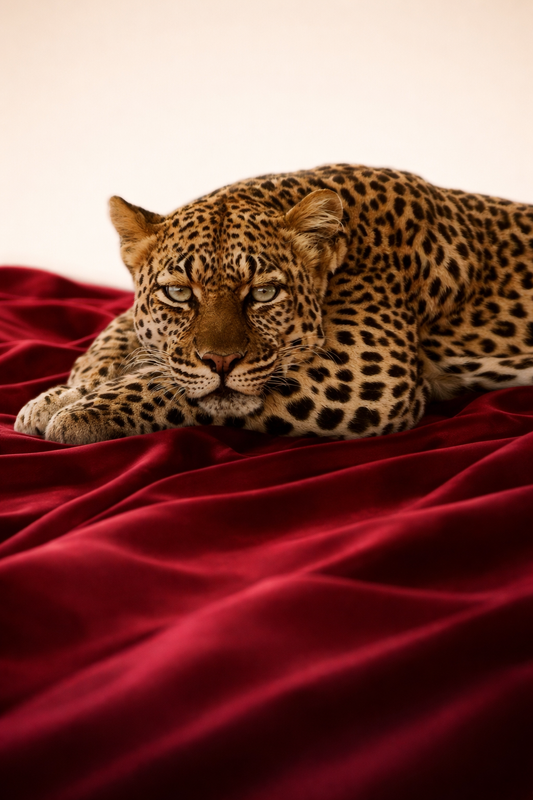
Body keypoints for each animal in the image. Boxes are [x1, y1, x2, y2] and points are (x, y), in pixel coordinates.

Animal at [15, 164, 533, 445]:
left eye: (264, 293)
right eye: (179, 293)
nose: (221, 361)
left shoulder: (366, 373)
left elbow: (174, 385)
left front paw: (80, 413)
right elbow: (117, 337)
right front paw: (62, 395)